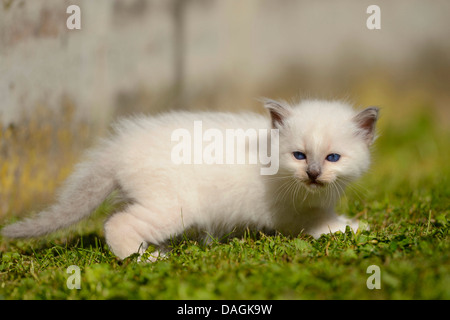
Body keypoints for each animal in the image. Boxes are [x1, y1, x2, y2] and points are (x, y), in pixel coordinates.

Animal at [1, 99, 378, 262]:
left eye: (332, 158)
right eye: (299, 156)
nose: (313, 173)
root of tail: (117, 149)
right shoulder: (291, 213)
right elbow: (323, 223)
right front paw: (355, 228)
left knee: (114, 218)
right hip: (173, 207)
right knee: (117, 225)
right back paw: (146, 260)